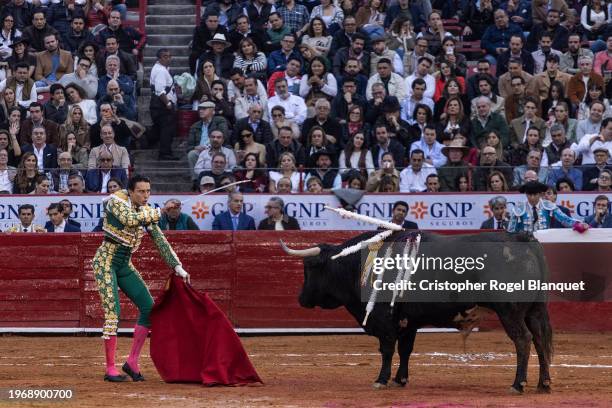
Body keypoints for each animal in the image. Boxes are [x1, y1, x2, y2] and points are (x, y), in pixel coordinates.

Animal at [282, 231, 556, 394]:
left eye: (310, 268)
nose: (300, 298)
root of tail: (520, 237)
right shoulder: (408, 322)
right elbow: (405, 350)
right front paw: (400, 379)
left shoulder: (385, 320)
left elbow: (387, 350)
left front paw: (381, 379)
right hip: (534, 311)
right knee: (540, 341)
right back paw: (543, 383)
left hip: (510, 312)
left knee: (523, 340)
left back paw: (518, 384)